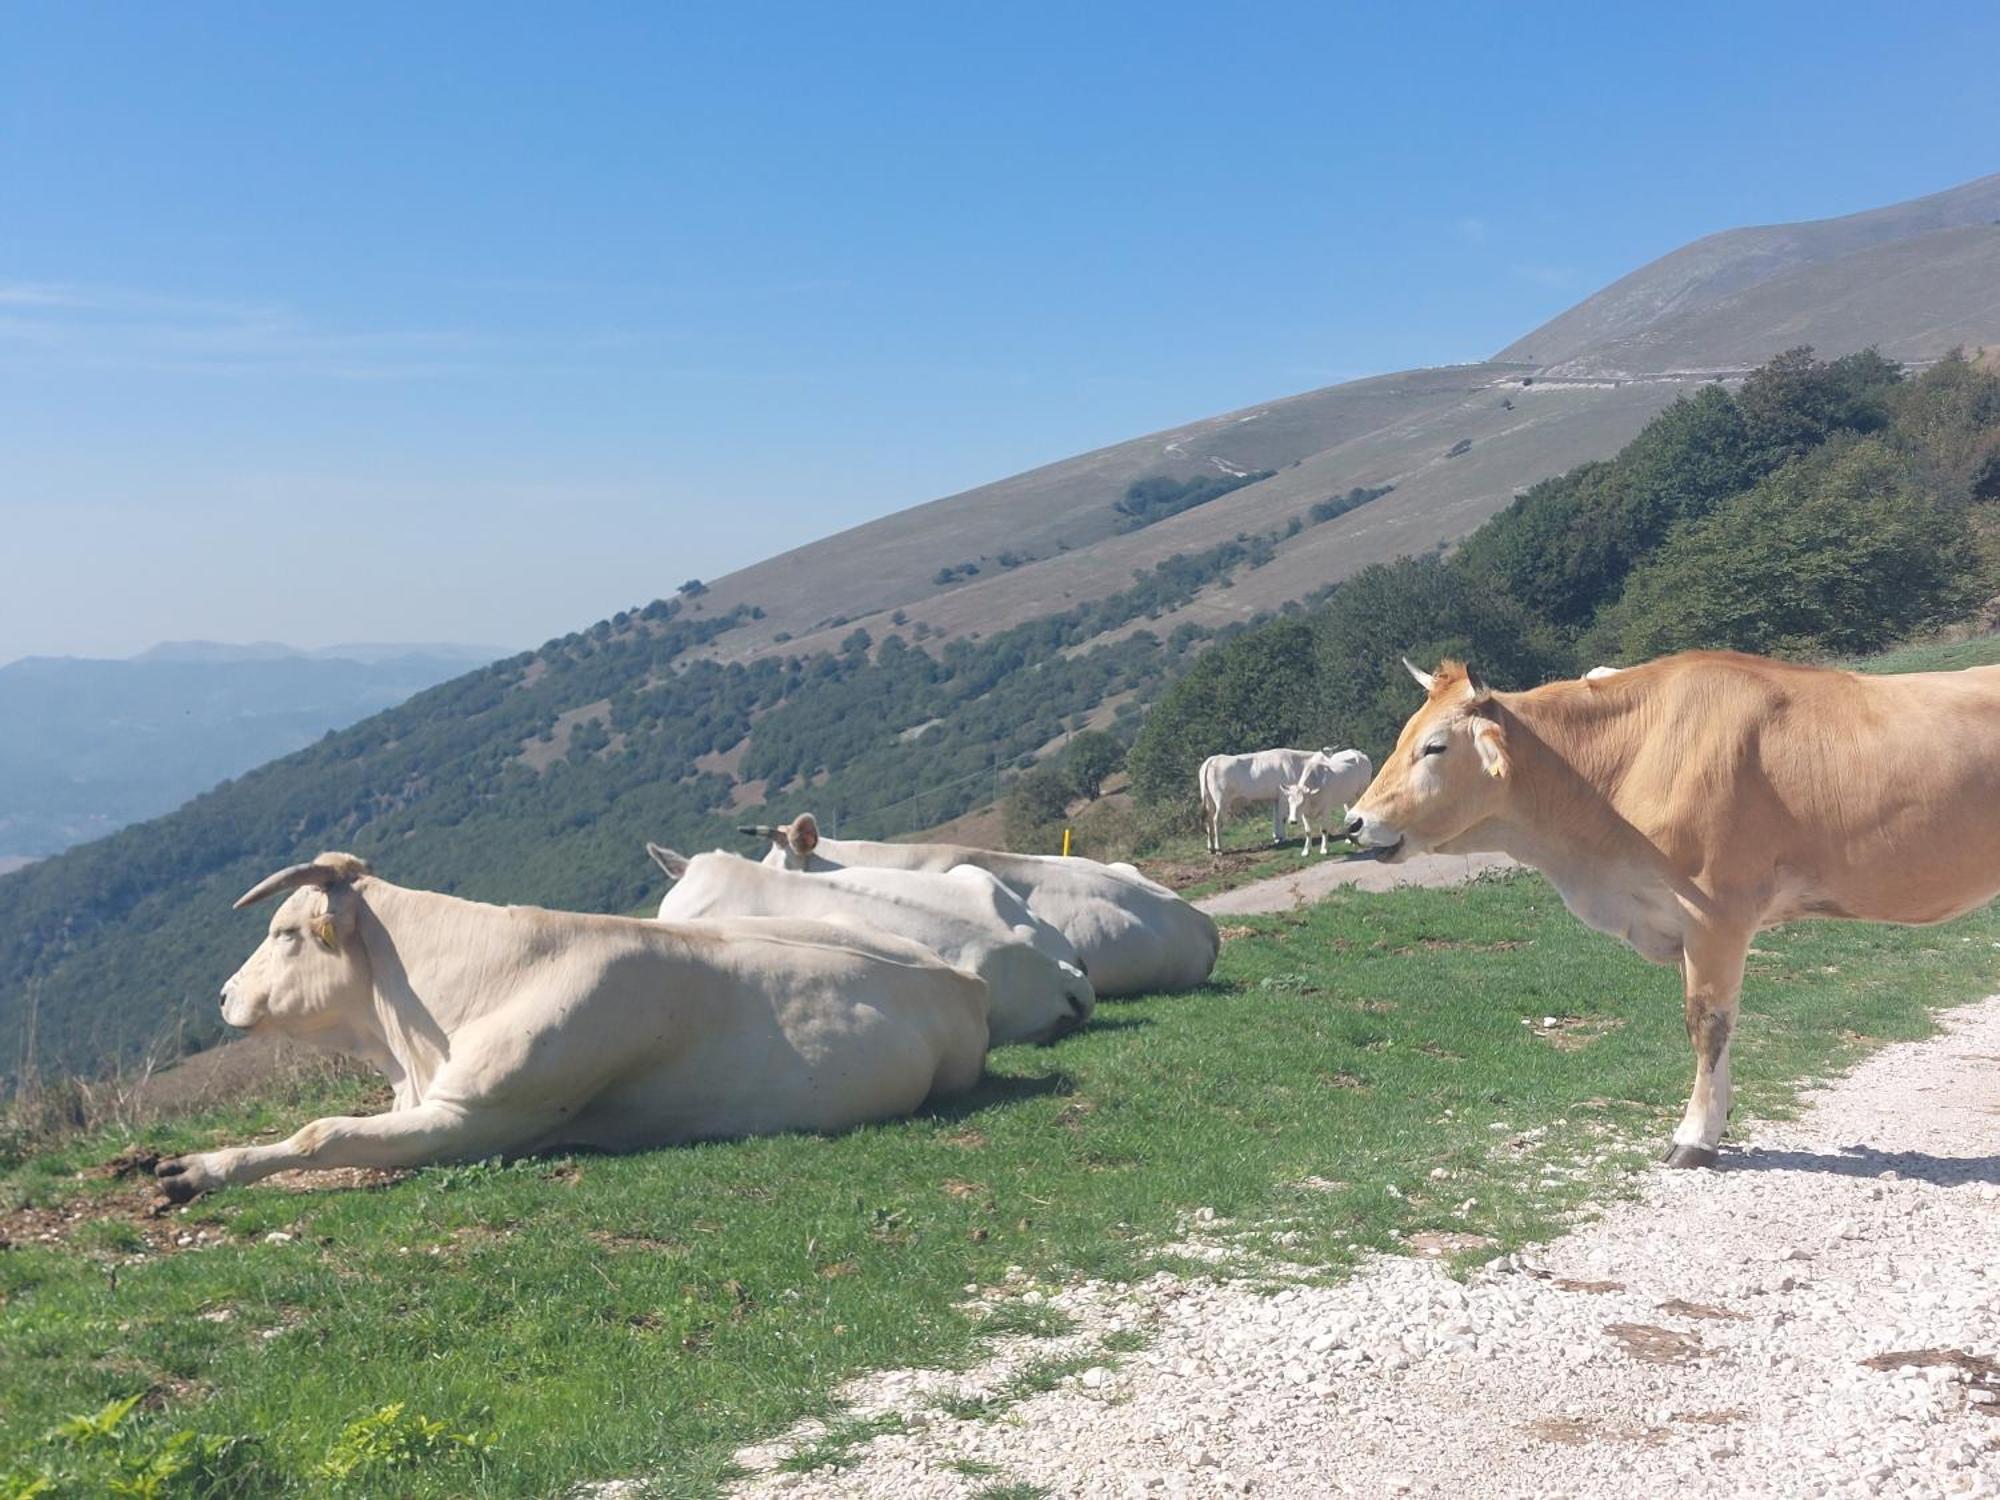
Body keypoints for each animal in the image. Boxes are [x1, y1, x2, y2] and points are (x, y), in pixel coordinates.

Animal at [156, 852, 992, 1208]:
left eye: (284, 931)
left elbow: (319, 1134)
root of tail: (963, 976)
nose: (224, 994)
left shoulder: (472, 1121)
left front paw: (198, 1169)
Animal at [1336, 652, 2000, 1168]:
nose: (1354, 822)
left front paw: (1694, 1138)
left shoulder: (1713, 914)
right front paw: (1719, 1124)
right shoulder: (1689, 926)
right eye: (1402, 737)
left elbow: (1706, 1024)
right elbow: (1717, 1026)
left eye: (1435, 746)